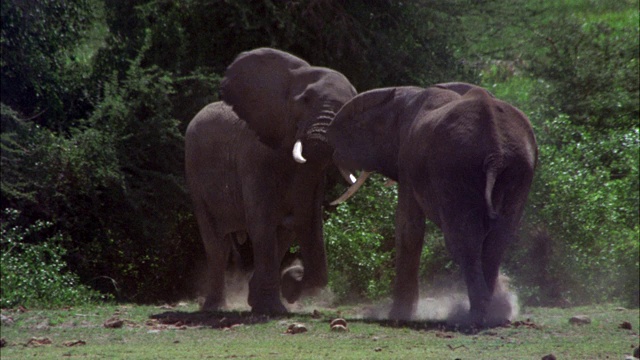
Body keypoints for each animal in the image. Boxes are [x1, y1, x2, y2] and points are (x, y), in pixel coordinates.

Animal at [182, 48, 358, 316]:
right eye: (305, 100)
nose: (296, 273)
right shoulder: (254, 158)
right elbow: (262, 221)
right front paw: (271, 308)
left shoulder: (313, 176)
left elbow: (299, 222)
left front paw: (267, 297)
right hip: (193, 171)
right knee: (217, 244)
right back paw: (214, 308)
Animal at [328, 82, 536, 326]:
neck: (402, 97)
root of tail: (496, 154)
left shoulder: (407, 163)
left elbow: (408, 227)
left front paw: (398, 316)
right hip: (518, 169)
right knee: (497, 241)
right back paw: (493, 312)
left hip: (455, 169)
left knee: (464, 241)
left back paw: (473, 316)